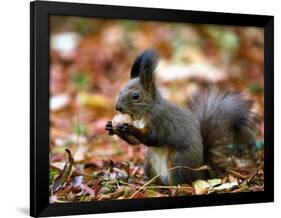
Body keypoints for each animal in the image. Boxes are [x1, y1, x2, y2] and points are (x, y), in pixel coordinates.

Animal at [104, 48, 254, 185]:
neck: (146, 112)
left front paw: (130, 129)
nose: (117, 108)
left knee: (179, 181)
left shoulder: (160, 121)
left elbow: (154, 137)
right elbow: (135, 142)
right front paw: (112, 127)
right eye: (120, 90)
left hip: (177, 162)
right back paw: (149, 183)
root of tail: (200, 172)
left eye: (135, 96)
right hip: (149, 162)